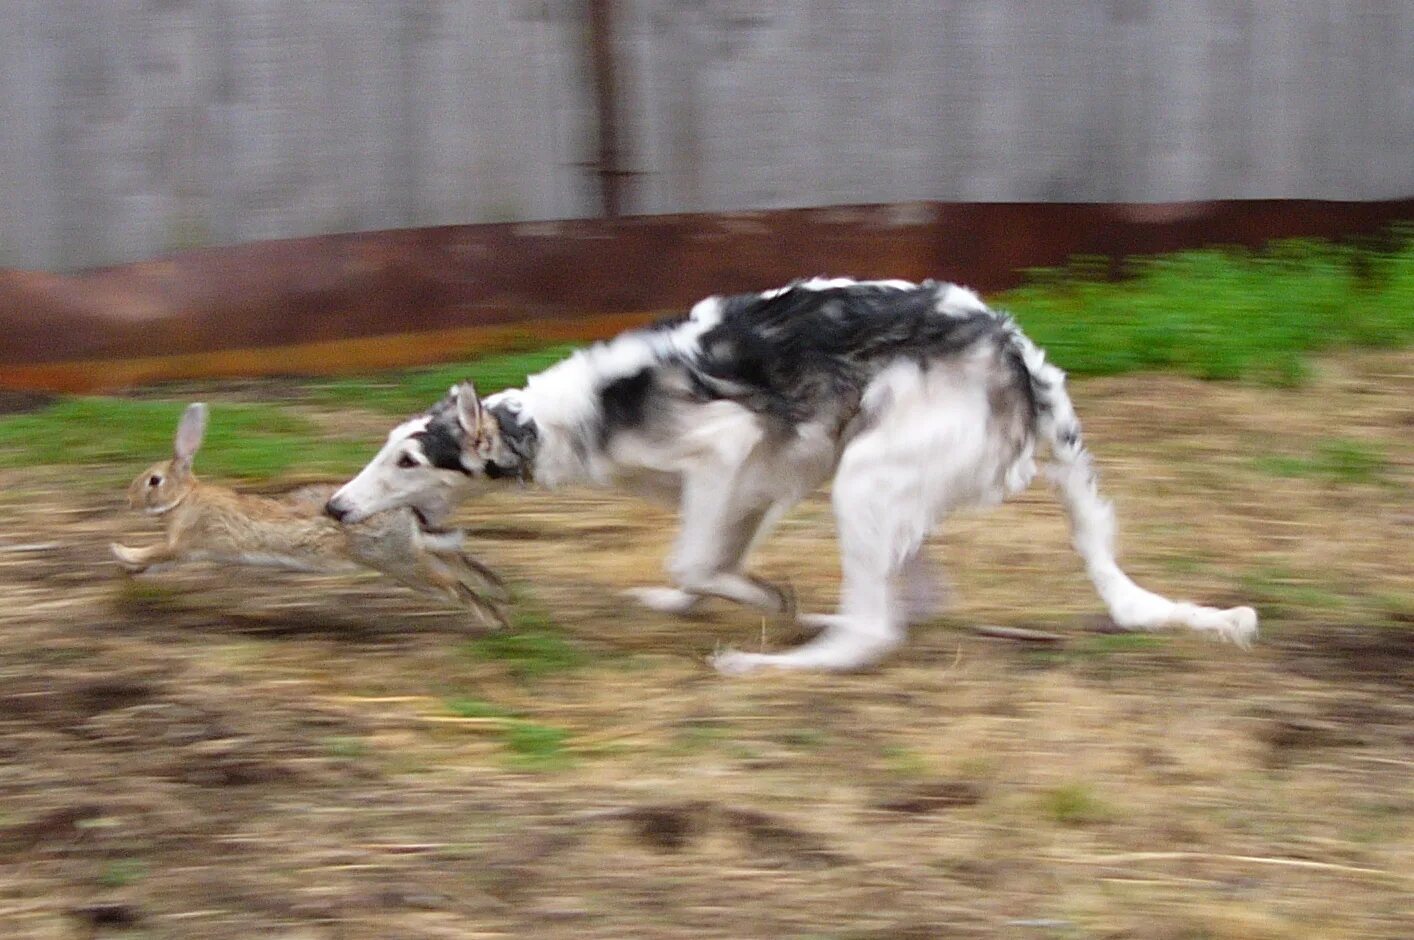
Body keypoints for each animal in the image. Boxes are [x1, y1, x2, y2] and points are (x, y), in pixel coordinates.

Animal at [111, 401, 509, 627]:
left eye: (154, 480)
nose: (129, 500)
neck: (185, 499)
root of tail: (407, 518)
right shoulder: (183, 552)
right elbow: (156, 563)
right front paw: (132, 571)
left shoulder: (185, 543)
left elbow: (154, 552)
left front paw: (120, 551)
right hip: (410, 554)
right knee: (461, 562)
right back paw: (500, 590)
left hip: (400, 563)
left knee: (453, 584)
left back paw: (495, 620)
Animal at [325, 275, 1255, 670]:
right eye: (387, 447)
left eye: (408, 458)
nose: (333, 507)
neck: (567, 416)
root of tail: (1017, 353)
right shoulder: (769, 475)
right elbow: (699, 567)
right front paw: (701, 600)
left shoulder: (729, 449)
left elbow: (696, 561)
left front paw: (764, 601)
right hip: (871, 474)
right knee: (907, 600)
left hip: (867, 478)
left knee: (873, 631)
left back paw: (773, 660)